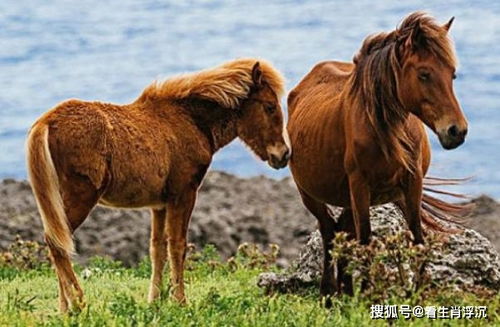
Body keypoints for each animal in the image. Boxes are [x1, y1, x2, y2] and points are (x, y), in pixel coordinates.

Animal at [25, 59, 290, 312]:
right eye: (270, 106)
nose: (283, 155)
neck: (190, 121)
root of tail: (45, 123)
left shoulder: (159, 204)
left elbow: (157, 249)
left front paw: (155, 301)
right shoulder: (184, 194)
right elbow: (178, 246)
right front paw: (181, 302)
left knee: (57, 240)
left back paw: (64, 308)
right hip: (81, 195)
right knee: (57, 242)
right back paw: (78, 303)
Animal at [288, 12, 470, 304]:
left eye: (452, 74)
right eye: (424, 74)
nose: (457, 131)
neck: (387, 128)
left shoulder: (412, 182)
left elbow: (417, 236)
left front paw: (417, 293)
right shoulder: (360, 186)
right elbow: (366, 239)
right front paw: (369, 294)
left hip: (347, 197)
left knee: (343, 231)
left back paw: (346, 290)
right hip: (311, 194)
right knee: (329, 231)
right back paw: (329, 293)